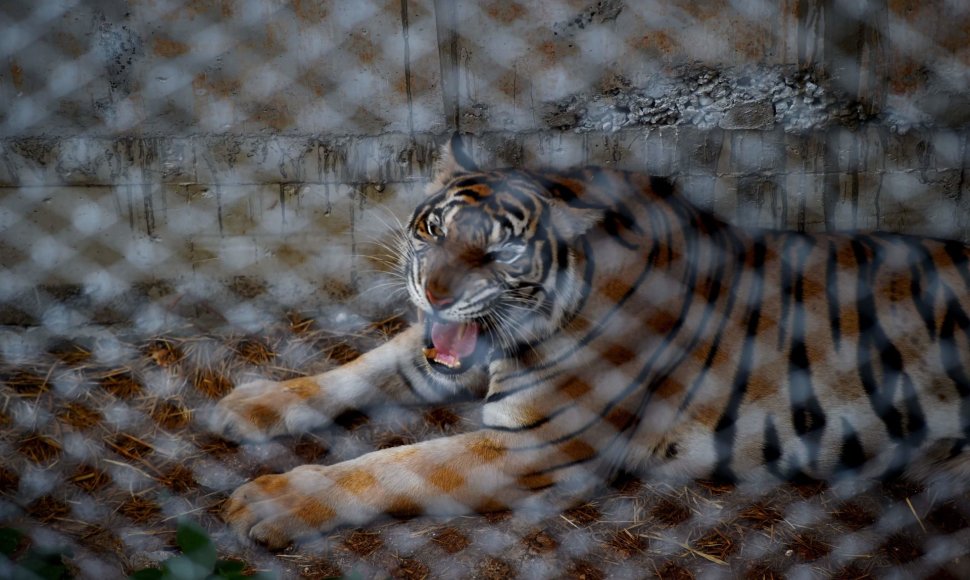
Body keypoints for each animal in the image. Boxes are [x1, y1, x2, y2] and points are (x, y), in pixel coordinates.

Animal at [212, 134, 968, 548]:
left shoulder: (538, 444)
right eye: (433, 230)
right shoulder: (438, 359)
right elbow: (355, 369)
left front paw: (272, 503)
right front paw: (250, 404)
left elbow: (397, 465)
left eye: (499, 254)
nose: (436, 293)